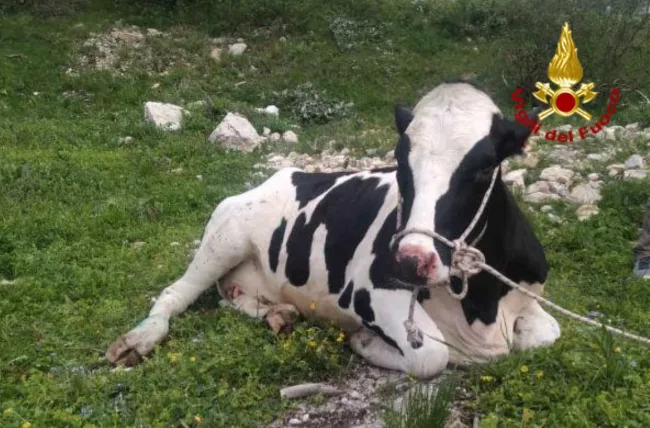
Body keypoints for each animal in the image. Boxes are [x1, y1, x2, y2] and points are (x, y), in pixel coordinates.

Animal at [106, 82, 561, 378]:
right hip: (224, 237)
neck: (480, 308)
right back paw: (138, 340)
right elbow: (431, 356)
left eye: (484, 167)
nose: (410, 261)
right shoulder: (369, 292)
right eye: (400, 161)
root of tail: (284, 174)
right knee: (174, 293)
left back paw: (280, 315)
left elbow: (548, 332)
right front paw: (366, 342)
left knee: (231, 296)